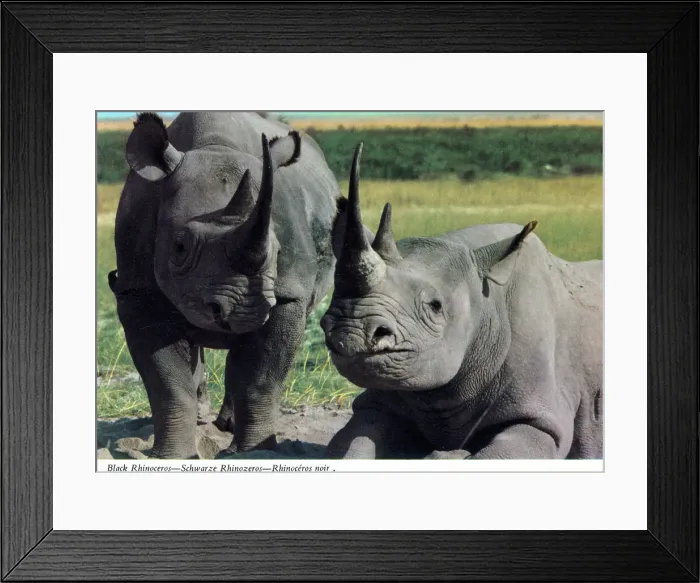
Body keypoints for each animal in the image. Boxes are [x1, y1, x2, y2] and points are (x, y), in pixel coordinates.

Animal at [109, 112, 341, 459]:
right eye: (179, 247)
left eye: (277, 252)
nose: (245, 312)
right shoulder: (138, 291)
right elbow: (168, 386)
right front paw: (170, 456)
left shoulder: (288, 295)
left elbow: (260, 380)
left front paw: (255, 452)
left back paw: (229, 426)